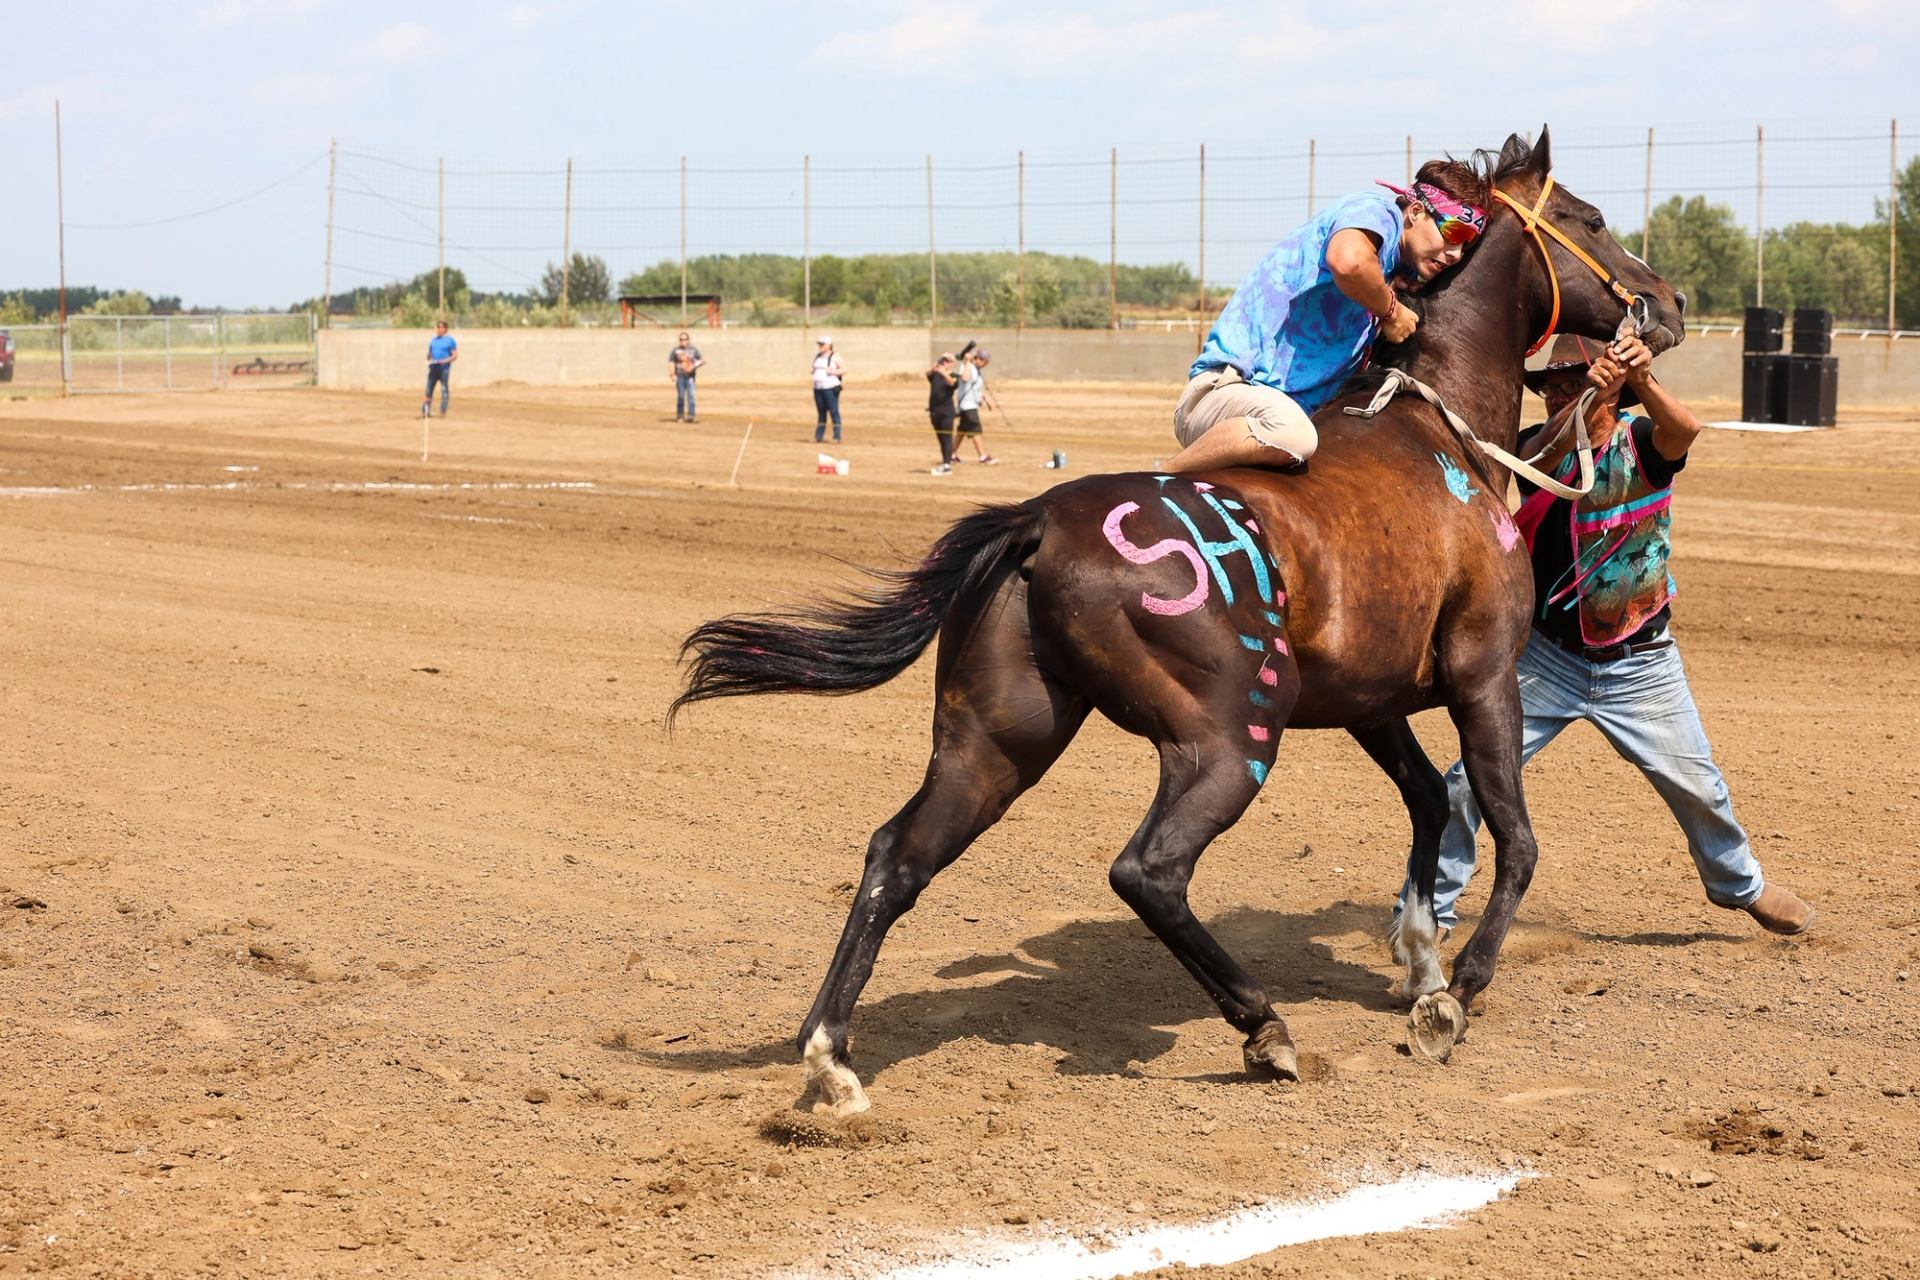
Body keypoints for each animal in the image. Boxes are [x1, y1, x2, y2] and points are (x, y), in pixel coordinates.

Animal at [670, 129, 1686, 1116]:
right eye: (1593, 219)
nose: (1669, 301)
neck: (1442, 439)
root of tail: (1039, 520)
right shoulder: (1482, 673)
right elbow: (1513, 835)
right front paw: (1456, 990)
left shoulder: (1369, 701)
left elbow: (1432, 804)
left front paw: (1419, 955)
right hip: (1228, 737)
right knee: (1146, 870)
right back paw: (1264, 1028)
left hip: (998, 739)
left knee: (896, 854)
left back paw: (831, 1058)